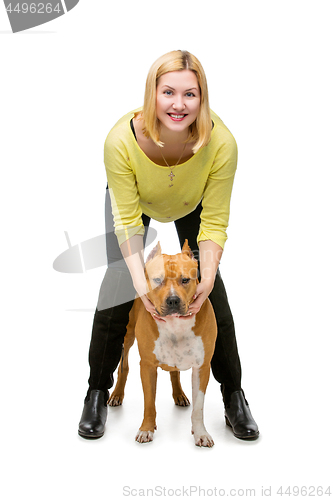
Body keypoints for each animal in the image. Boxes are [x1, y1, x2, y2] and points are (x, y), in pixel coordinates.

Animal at [108, 240, 218, 448]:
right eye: (158, 280)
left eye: (185, 280)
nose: (173, 300)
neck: (175, 325)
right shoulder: (147, 365)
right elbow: (149, 402)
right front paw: (146, 429)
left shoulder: (202, 367)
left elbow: (198, 407)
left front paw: (200, 433)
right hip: (127, 337)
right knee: (123, 367)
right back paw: (117, 394)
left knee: (174, 372)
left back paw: (179, 395)